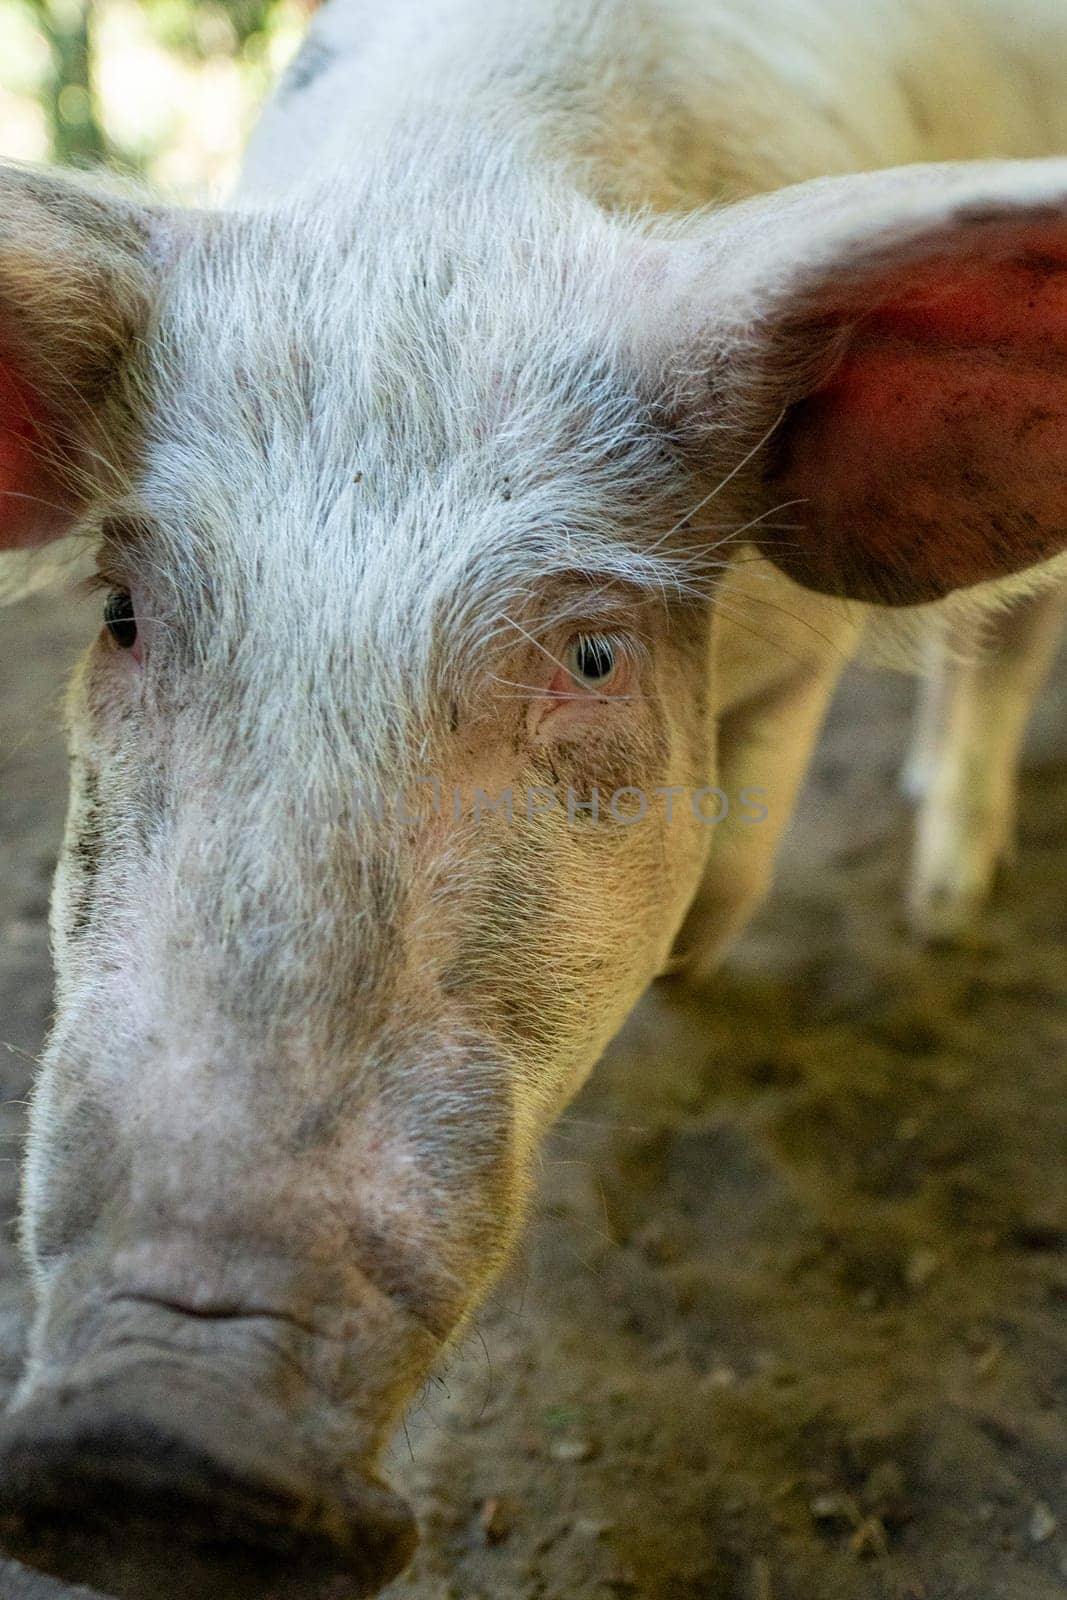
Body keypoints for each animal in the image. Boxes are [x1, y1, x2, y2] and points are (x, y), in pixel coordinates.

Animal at [0, 3, 1062, 1600]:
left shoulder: (800, 662)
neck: (449, 188)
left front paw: (695, 970)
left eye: (592, 653)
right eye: (120, 614)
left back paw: (941, 907)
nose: (152, 1442)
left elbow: (731, 875)